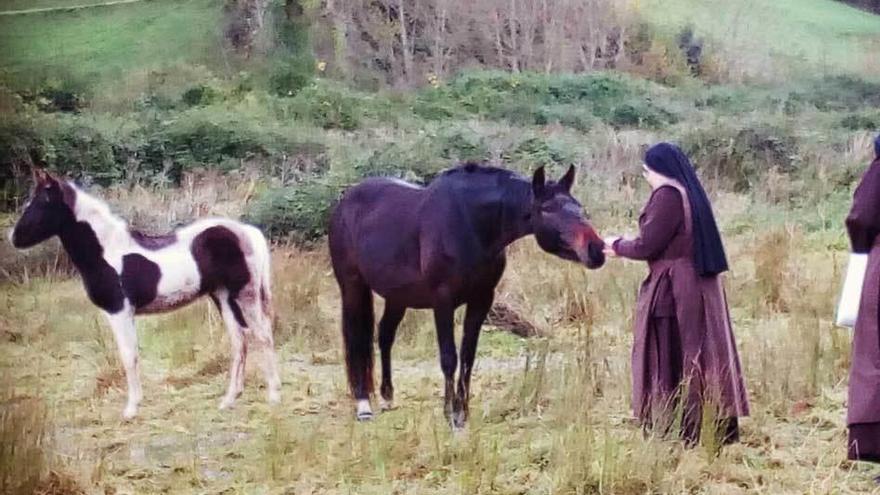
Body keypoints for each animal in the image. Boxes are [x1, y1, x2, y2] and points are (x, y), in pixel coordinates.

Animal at [12, 170, 280, 418]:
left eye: (43, 201)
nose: (14, 238)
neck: (107, 252)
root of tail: (248, 232)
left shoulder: (120, 311)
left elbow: (129, 356)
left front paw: (131, 409)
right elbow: (132, 355)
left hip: (246, 295)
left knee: (263, 336)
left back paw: (273, 396)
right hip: (224, 297)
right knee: (240, 341)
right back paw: (229, 400)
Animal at [330, 165, 604, 428]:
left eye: (578, 207)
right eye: (547, 209)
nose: (596, 250)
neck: (471, 225)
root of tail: (344, 202)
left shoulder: (481, 300)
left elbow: (468, 357)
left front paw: (464, 412)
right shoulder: (443, 301)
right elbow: (449, 358)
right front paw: (450, 414)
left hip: (397, 296)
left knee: (385, 335)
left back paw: (387, 397)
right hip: (352, 287)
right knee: (355, 339)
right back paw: (363, 405)